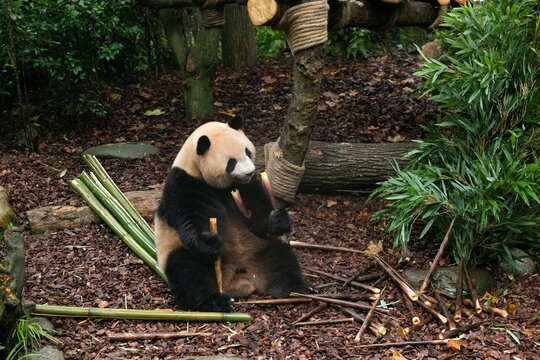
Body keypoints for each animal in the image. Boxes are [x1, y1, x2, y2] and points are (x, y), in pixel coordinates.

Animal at [154, 116, 314, 312]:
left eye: (247, 151)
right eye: (231, 162)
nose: (250, 171)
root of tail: (241, 276)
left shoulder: (249, 186)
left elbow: (258, 218)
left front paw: (278, 220)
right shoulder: (184, 186)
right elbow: (191, 221)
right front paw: (210, 241)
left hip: (261, 247)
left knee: (282, 260)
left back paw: (300, 288)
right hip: (178, 251)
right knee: (189, 274)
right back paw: (217, 301)